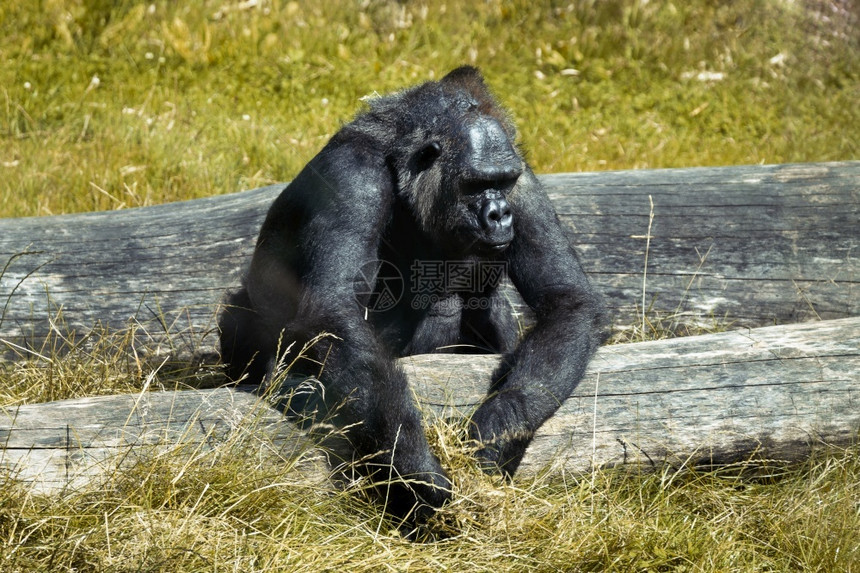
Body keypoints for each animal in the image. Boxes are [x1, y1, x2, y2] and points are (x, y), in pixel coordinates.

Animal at [218, 67, 608, 524]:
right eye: (477, 184)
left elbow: (567, 300)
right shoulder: (353, 178)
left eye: (503, 181)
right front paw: (415, 473)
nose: (499, 212)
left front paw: (495, 435)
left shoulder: (523, 177)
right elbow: (333, 311)